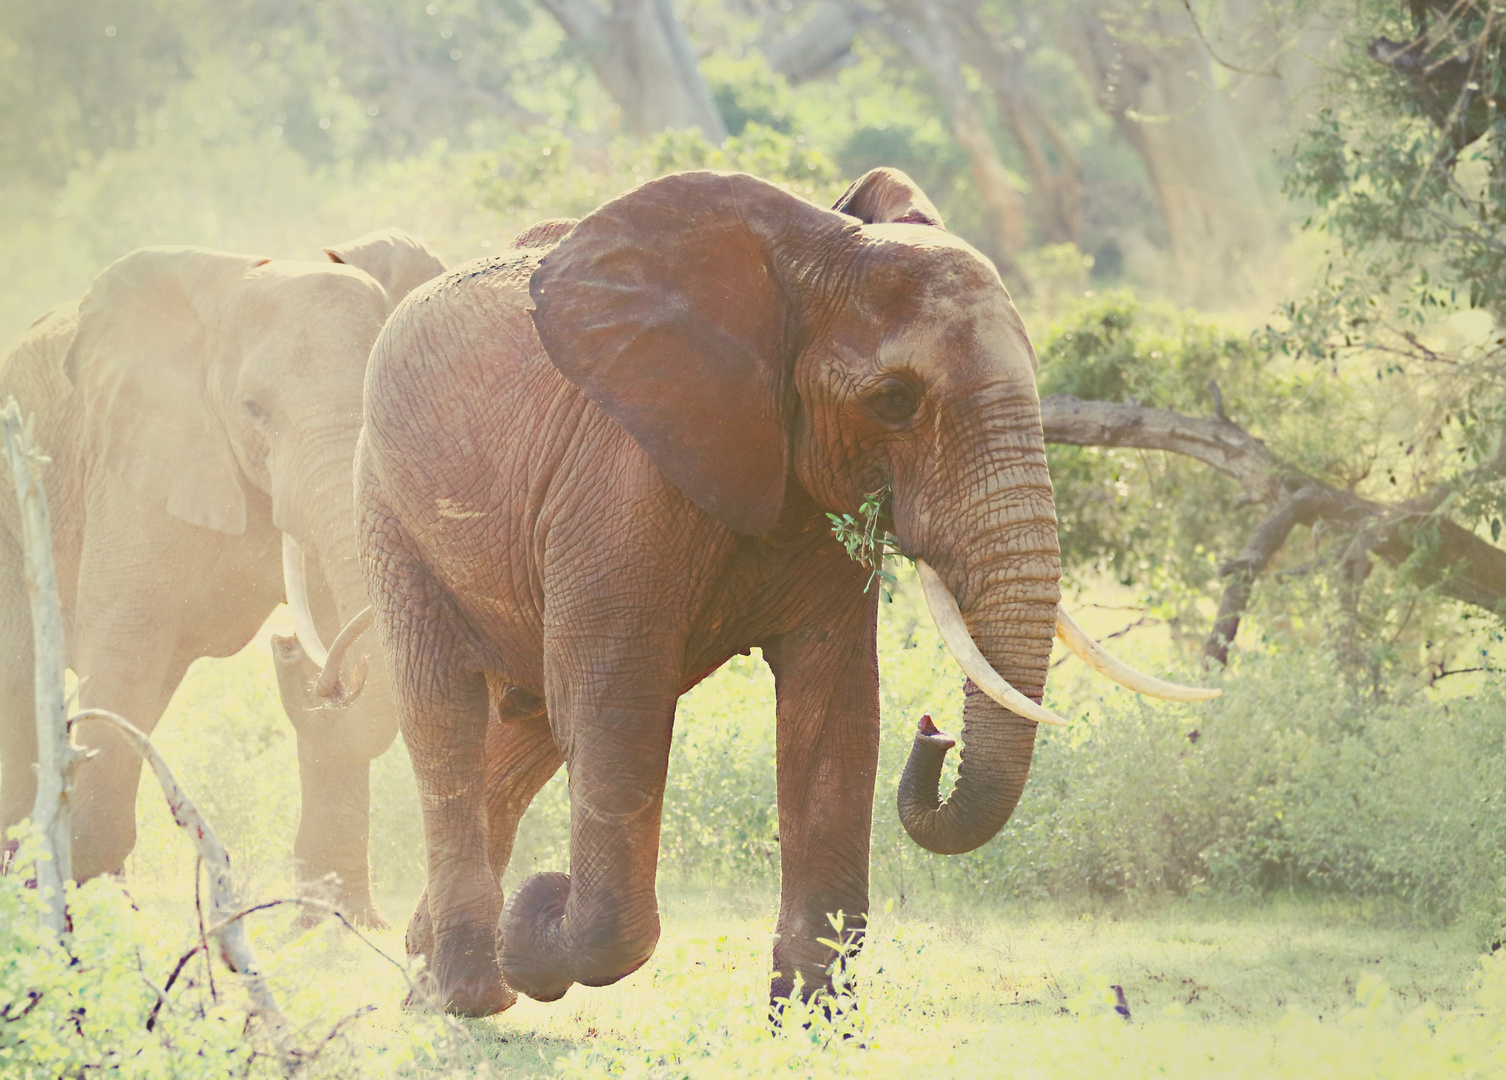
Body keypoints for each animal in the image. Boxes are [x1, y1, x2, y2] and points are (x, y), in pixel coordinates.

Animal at [0, 225, 442, 915]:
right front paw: (89, 913)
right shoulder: (141, 453)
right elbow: (126, 642)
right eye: (254, 409)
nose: (286, 651)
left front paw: (333, 929)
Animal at [346, 166, 1216, 1012]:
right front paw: (537, 932)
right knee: (447, 713)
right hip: (387, 508)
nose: (936, 732)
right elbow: (613, 703)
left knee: (525, 731)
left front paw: (810, 1017)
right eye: (894, 401)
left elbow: (835, 708)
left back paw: (426, 978)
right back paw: (471, 994)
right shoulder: (623, 481)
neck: (798, 263)